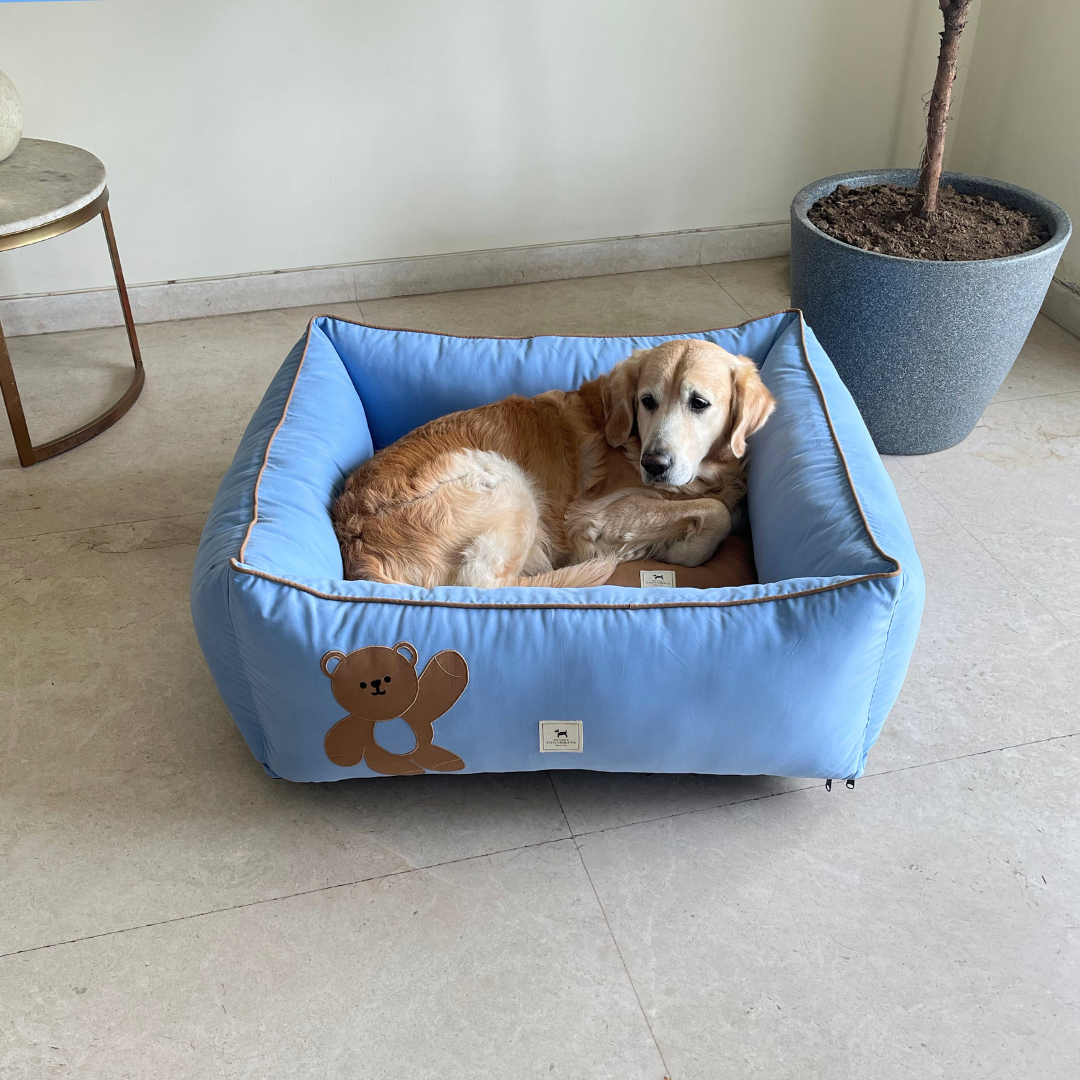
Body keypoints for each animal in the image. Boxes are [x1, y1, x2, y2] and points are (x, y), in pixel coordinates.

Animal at [330, 339, 777, 587]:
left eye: (698, 403)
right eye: (647, 400)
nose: (654, 465)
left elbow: (729, 506)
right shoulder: (594, 515)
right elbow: (717, 512)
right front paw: (682, 549)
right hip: (505, 480)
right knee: (483, 589)